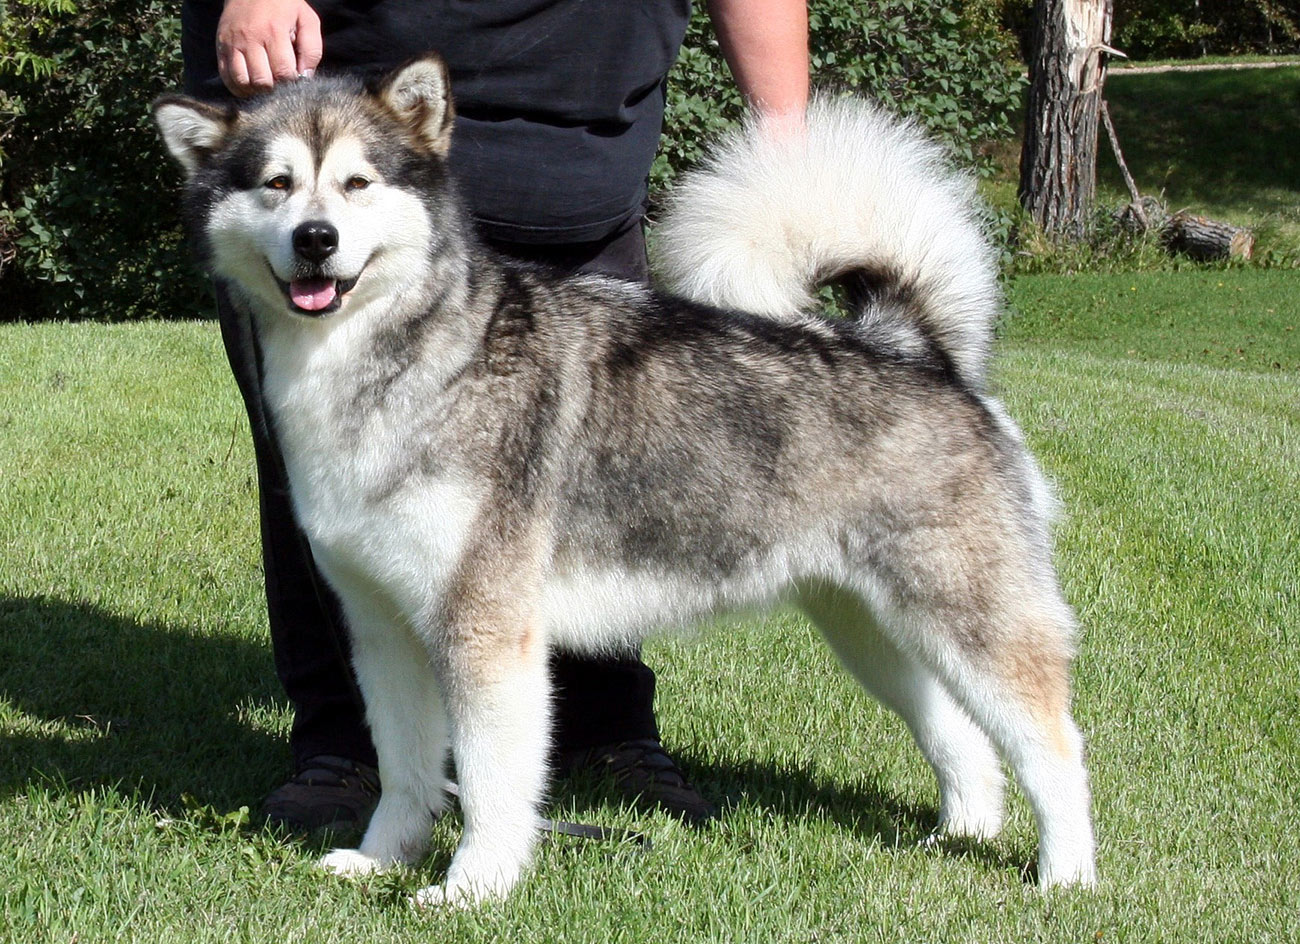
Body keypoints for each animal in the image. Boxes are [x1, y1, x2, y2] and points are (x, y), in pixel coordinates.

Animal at [154, 53, 1097, 910]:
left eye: (356, 183)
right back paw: (960, 834)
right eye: (276, 185)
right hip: (873, 630)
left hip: (968, 619)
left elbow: (492, 784)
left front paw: (473, 889)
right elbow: (406, 770)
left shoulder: (486, 632)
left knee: (1055, 748)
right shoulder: (383, 630)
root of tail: (916, 351)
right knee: (960, 736)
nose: (316, 239)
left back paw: (1068, 877)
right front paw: (383, 860)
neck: (383, 366)